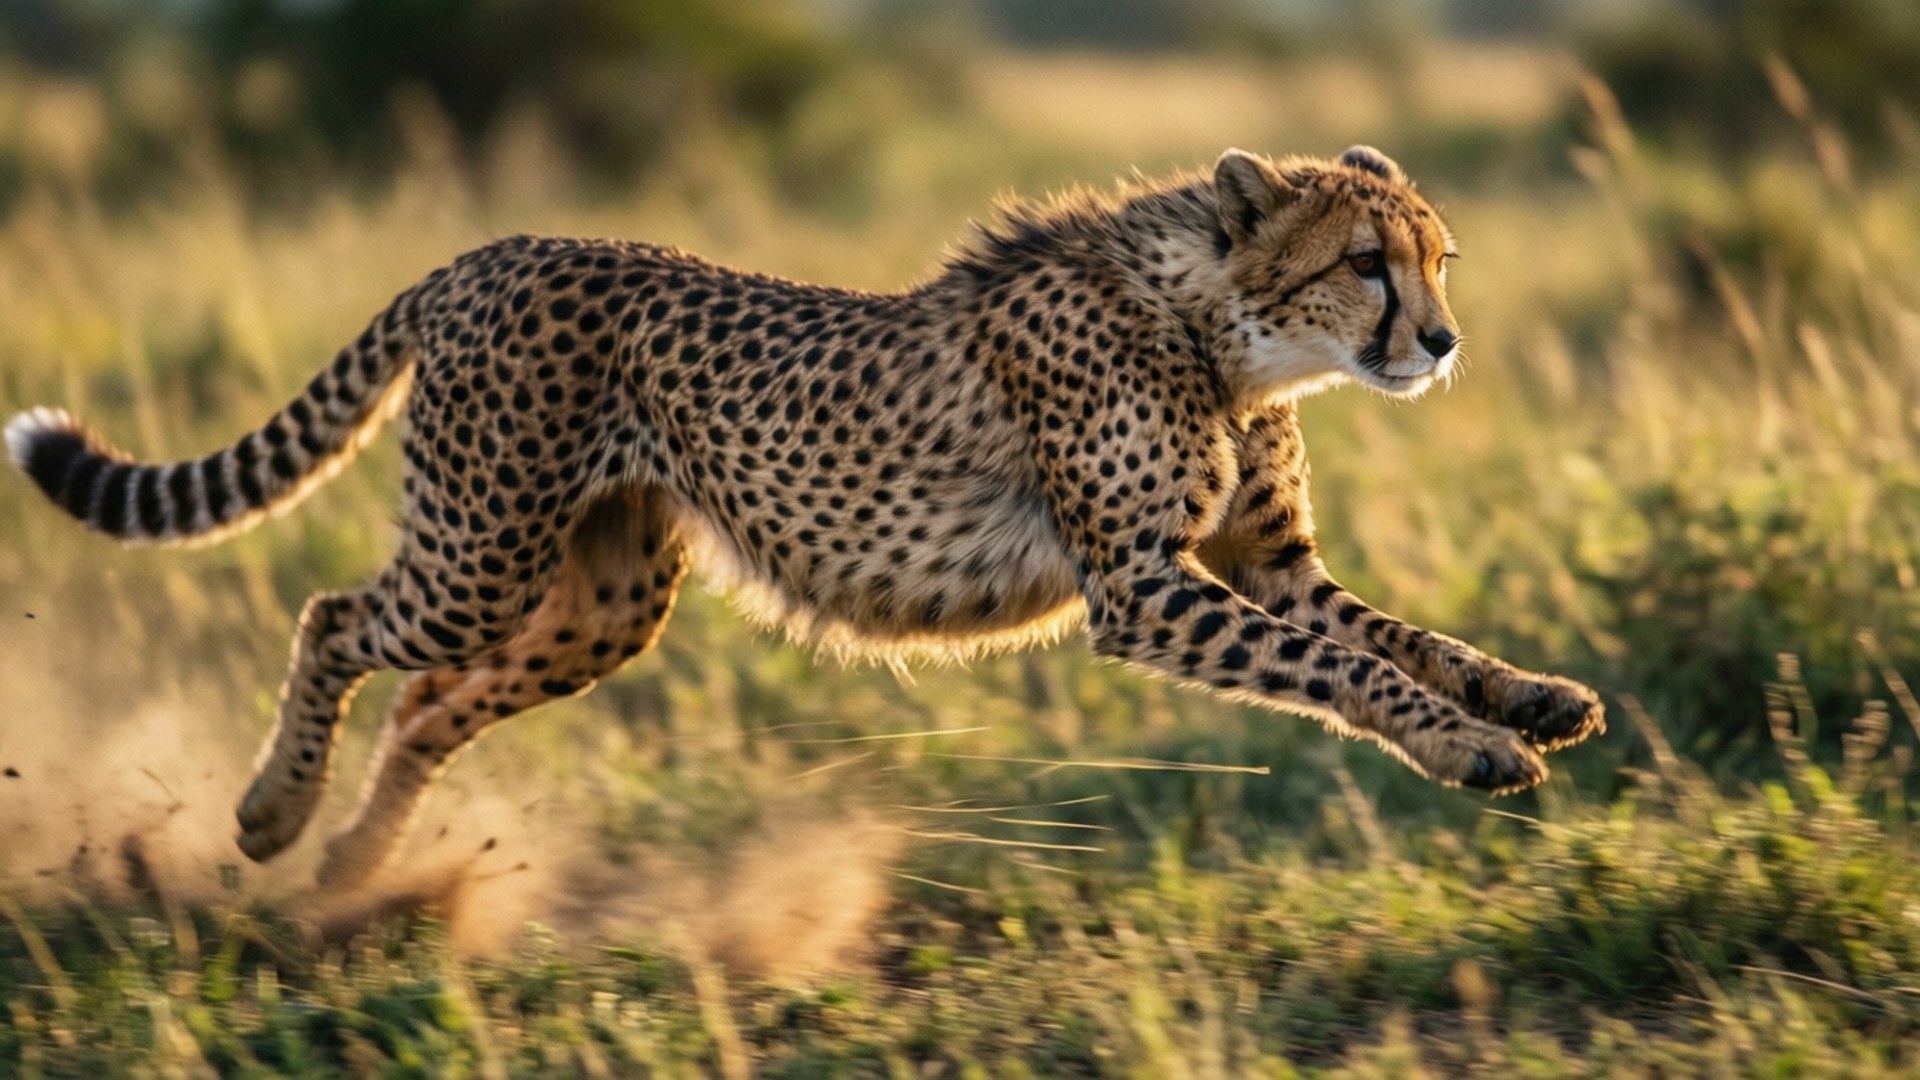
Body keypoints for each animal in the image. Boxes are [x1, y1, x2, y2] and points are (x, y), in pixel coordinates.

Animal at [6, 146, 1604, 889]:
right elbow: (1343, 665)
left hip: (603, 604)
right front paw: (1471, 749)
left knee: (428, 705)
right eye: (1363, 263)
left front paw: (1528, 698)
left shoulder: (1259, 564)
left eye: (1437, 259)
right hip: (479, 554)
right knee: (338, 618)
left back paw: (353, 873)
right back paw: (275, 820)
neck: (1221, 326)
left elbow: (1396, 637)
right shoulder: (1145, 587)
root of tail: (495, 246)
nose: (1442, 342)